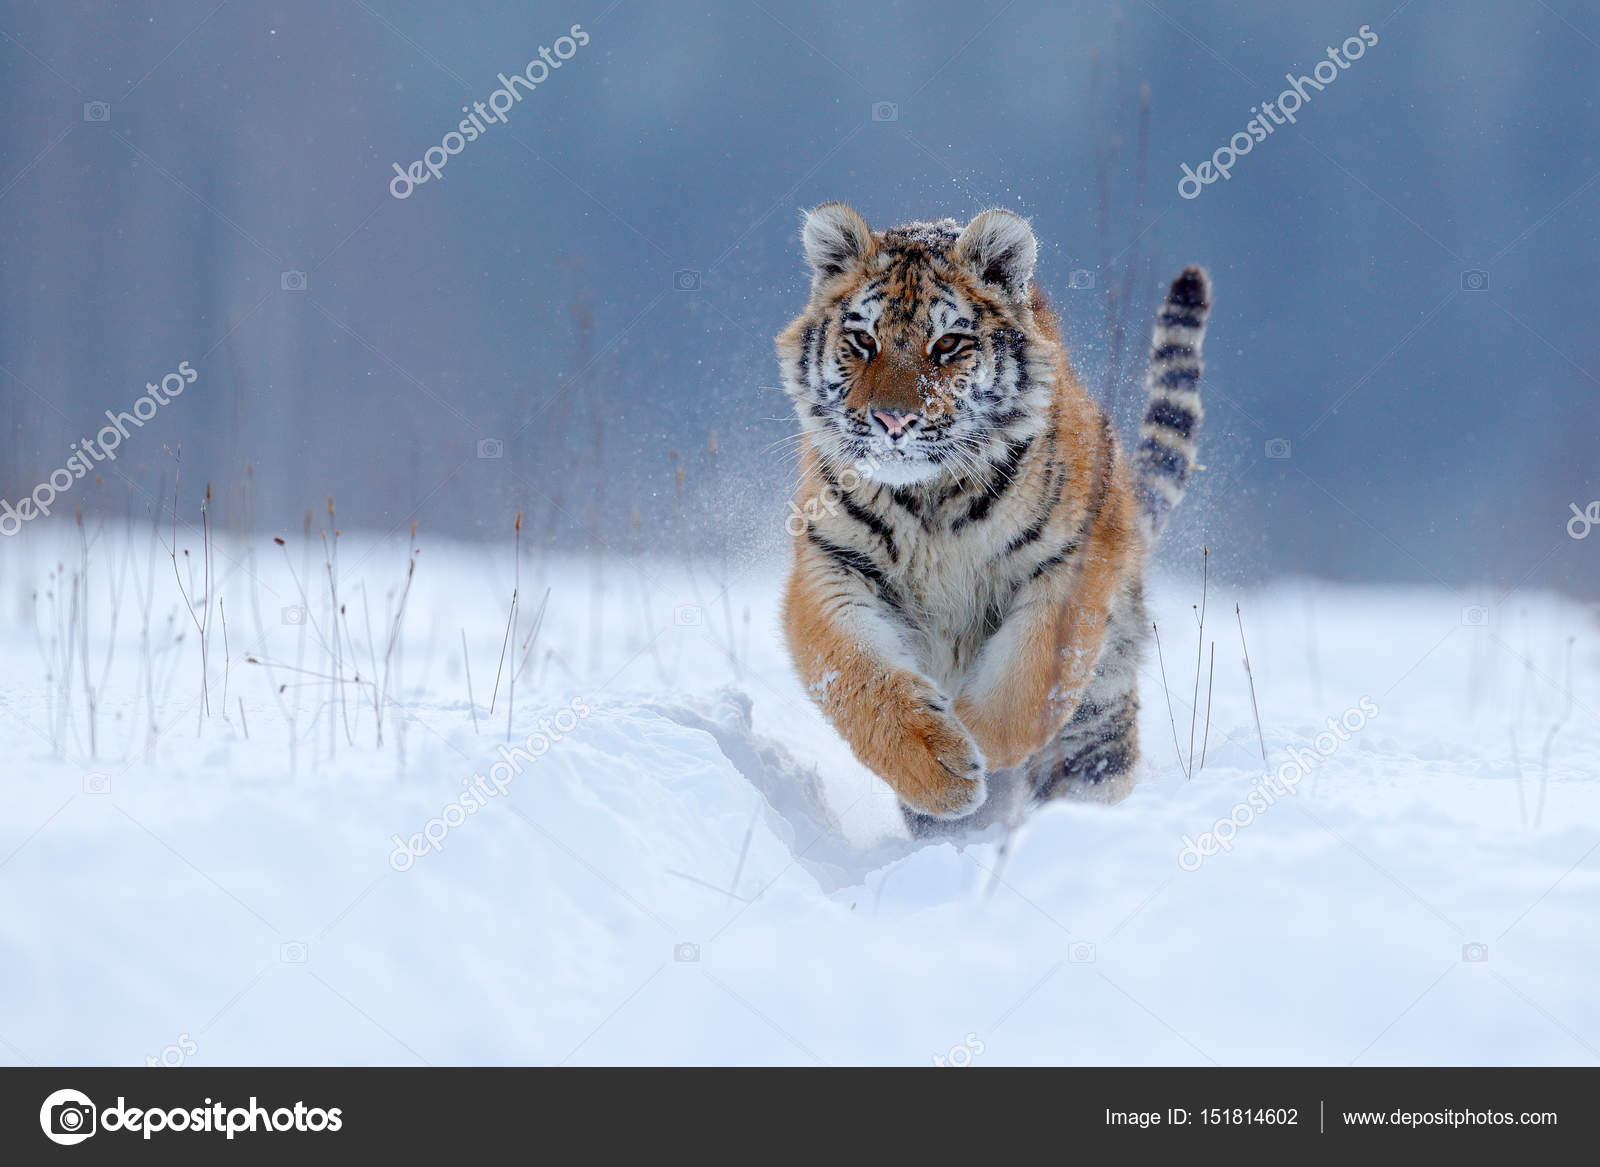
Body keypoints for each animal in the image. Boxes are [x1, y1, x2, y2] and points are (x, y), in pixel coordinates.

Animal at [774, 204, 1209, 832]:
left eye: (949, 343)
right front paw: (939, 770)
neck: (928, 500)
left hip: (1101, 710)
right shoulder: (833, 567)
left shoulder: (1072, 566)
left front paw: (976, 744)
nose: (892, 420)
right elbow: (858, 678)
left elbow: (1027, 685)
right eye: (862, 339)